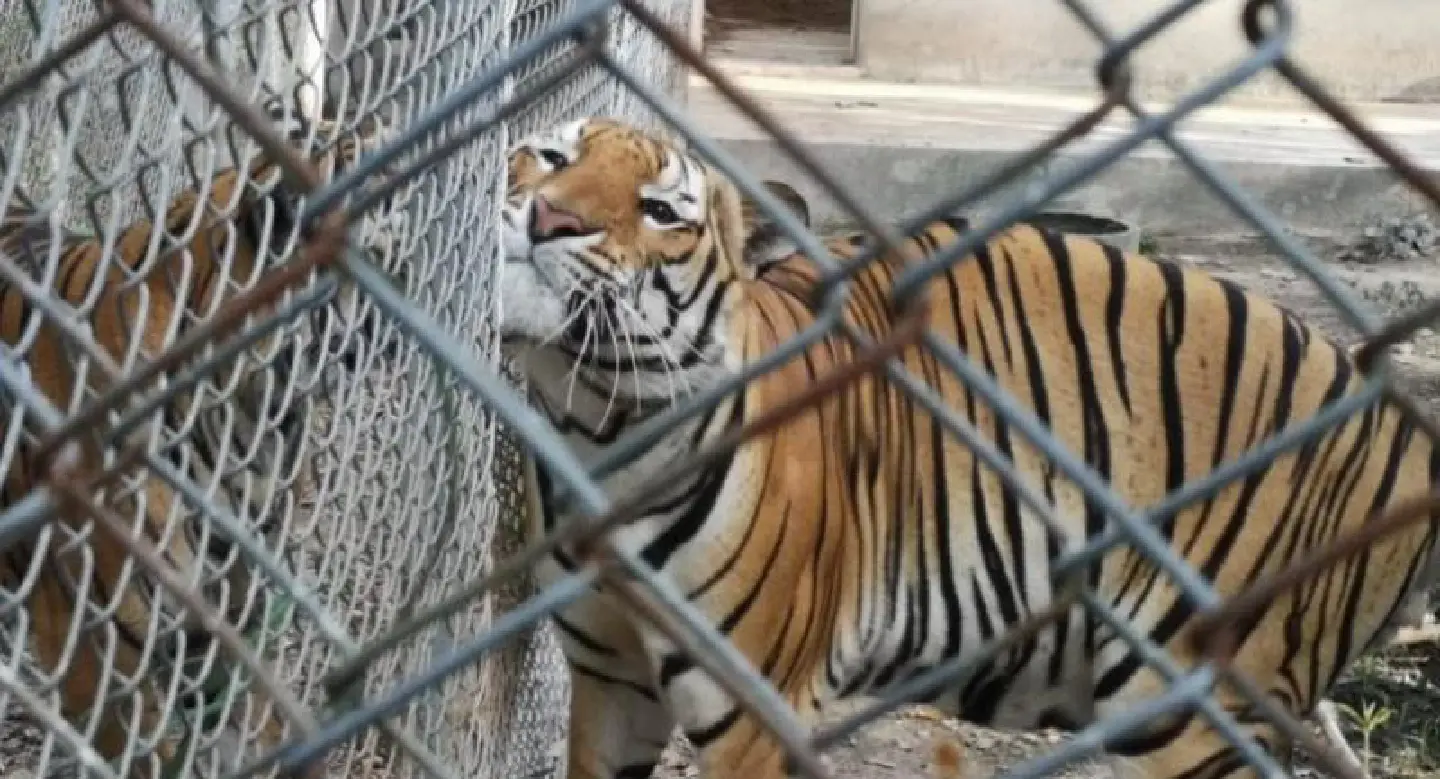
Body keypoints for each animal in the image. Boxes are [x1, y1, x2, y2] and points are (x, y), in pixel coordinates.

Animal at [495, 115, 1440, 779]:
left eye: (660, 212)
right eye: (548, 157)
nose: (548, 216)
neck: (597, 428)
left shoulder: (751, 712)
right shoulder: (609, 682)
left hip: (1188, 701)